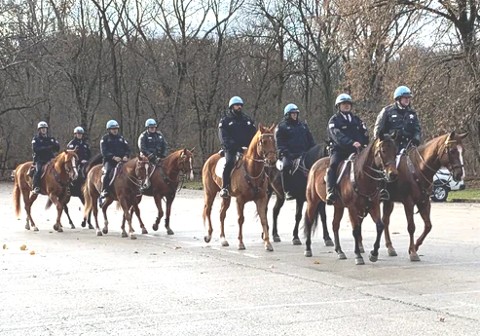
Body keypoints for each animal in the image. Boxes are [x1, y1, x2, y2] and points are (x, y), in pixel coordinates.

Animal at [304, 136, 398, 266]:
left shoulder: (373, 205)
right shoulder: (352, 208)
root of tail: (315, 165)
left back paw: (339, 251)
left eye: (395, 151)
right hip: (312, 201)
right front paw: (358, 255)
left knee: (335, 225)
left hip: (338, 206)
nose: (393, 174)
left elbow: (379, 226)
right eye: (383, 150)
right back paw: (308, 249)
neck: (362, 176)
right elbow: (356, 230)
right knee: (309, 221)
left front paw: (373, 254)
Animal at [382, 131, 468, 260]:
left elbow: (428, 226)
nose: (459, 175)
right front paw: (413, 252)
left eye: (463, 151)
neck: (418, 169)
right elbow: (411, 227)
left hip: (388, 201)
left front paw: (415, 246)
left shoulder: (424, 202)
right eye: (452, 151)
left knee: (385, 221)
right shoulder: (408, 202)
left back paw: (390, 247)